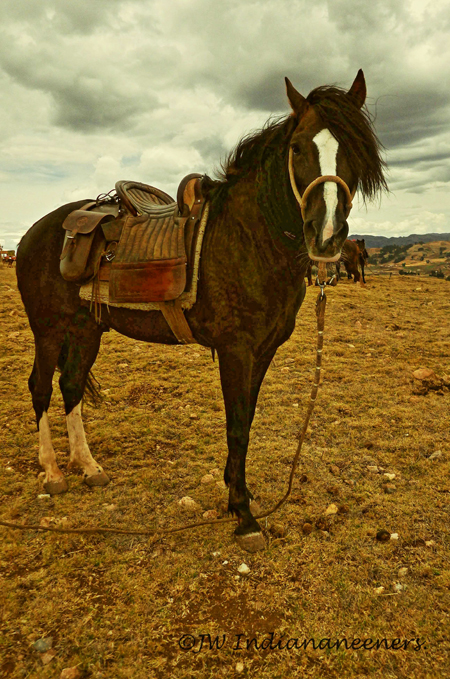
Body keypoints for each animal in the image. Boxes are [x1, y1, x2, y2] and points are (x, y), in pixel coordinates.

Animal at [15, 70, 384, 552]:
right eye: (298, 147)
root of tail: (35, 232)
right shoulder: (235, 350)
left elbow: (247, 419)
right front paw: (244, 515)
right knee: (41, 387)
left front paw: (237, 492)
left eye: (355, 148)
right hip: (48, 330)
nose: (325, 235)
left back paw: (89, 467)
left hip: (85, 329)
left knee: (72, 385)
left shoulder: (263, 351)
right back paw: (54, 472)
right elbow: (237, 424)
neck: (248, 237)